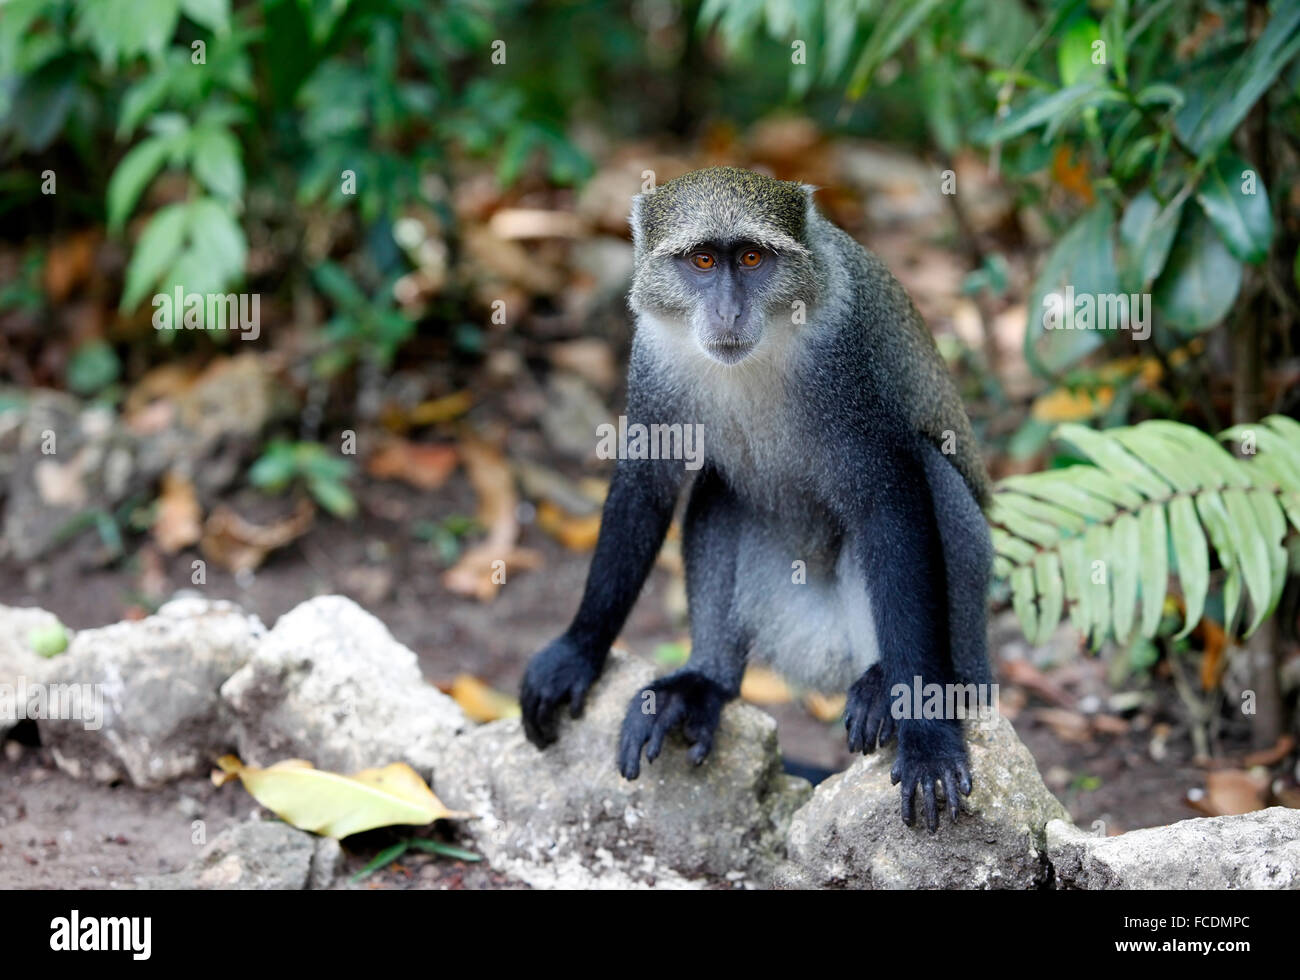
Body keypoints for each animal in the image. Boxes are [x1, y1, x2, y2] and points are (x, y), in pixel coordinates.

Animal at [517, 164, 993, 826]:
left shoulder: (846, 359)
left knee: (927, 470)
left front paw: (927, 737)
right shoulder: (653, 358)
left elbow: (891, 498)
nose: (727, 312)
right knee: (718, 488)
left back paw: (890, 682)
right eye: (701, 261)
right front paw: (576, 652)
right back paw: (704, 684)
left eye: (750, 258)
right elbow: (646, 486)